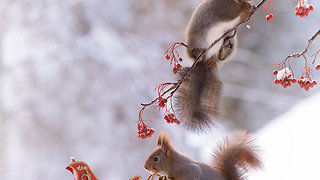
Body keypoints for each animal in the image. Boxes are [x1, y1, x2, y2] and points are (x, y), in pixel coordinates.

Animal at [174, 0, 256, 132]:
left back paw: (225, 49)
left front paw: (251, 8)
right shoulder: (223, 8)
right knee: (195, 52)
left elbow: (241, 18)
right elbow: (233, 12)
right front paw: (246, 6)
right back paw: (198, 53)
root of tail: (206, 59)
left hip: (229, 40)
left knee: (223, 54)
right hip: (196, 41)